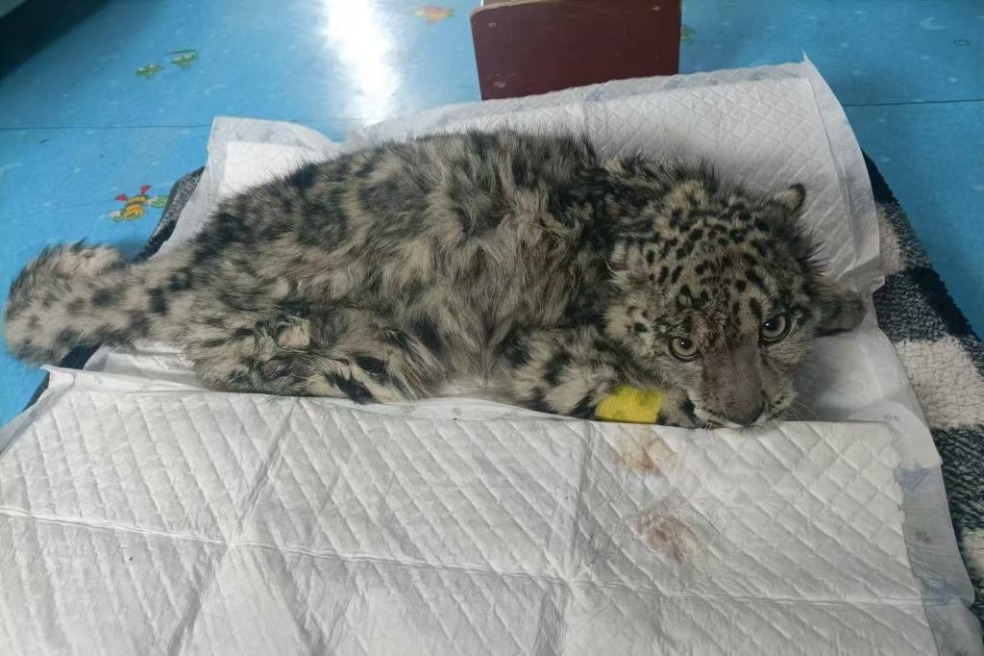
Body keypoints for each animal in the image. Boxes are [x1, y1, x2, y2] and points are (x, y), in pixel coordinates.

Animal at [3, 130, 864, 427]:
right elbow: (616, 392)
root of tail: (207, 245)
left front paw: (844, 299)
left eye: (773, 325)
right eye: (683, 344)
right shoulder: (536, 355)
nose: (748, 411)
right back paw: (278, 355)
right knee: (218, 359)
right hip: (358, 348)